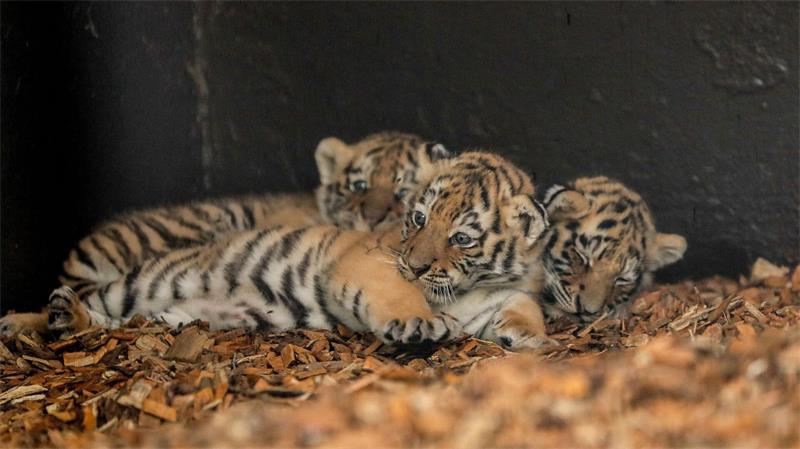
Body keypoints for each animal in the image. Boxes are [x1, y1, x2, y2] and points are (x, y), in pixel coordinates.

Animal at [0, 151, 553, 350]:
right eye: (418, 218)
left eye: (461, 237)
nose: (416, 265)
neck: (471, 286)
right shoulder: (370, 262)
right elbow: (400, 294)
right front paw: (418, 321)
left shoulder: (501, 289)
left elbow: (524, 304)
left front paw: (526, 334)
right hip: (143, 281)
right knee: (89, 303)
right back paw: (31, 319)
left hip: (157, 311)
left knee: (110, 320)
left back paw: (62, 317)